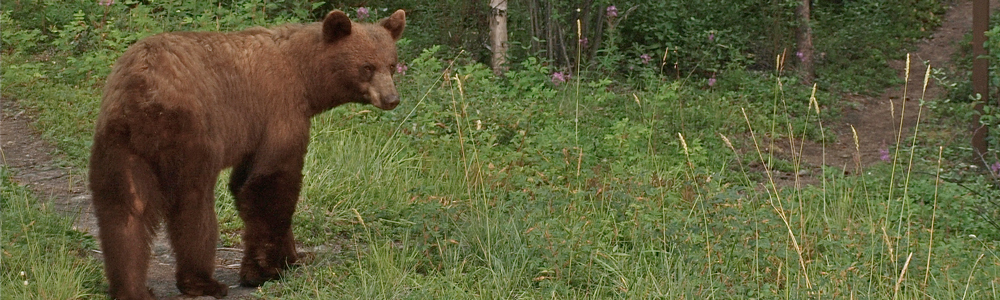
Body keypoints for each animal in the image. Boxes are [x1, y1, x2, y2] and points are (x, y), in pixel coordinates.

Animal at [87, 9, 406, 300]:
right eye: (367, 67)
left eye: (391, 64)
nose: (391, 99)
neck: (304, 77)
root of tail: (140, 94)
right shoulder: (278, 110)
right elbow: (271, 182)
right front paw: (264, 269)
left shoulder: (253, 134)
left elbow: (245, 183)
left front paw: (295, 257)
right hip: (191, 134)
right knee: (192, 205)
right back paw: (202, 282)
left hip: (118, 146)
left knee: (124, 211)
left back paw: (132, 288)